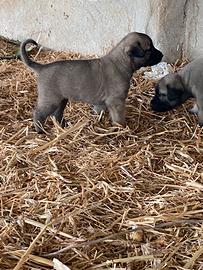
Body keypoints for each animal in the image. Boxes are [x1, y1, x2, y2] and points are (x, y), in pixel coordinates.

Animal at [20, 32, 163, 133]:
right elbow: (119, 118)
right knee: (38, 114)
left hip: (62, 100)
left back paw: (63, 126)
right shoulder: (116, 101)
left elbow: (100, 111)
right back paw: (41, 131)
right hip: (50, 100)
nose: (162, 55)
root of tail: (42, 67)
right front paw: (122, 129)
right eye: (149, 49)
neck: (121, 62)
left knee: (57, 115)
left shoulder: (104, 103)